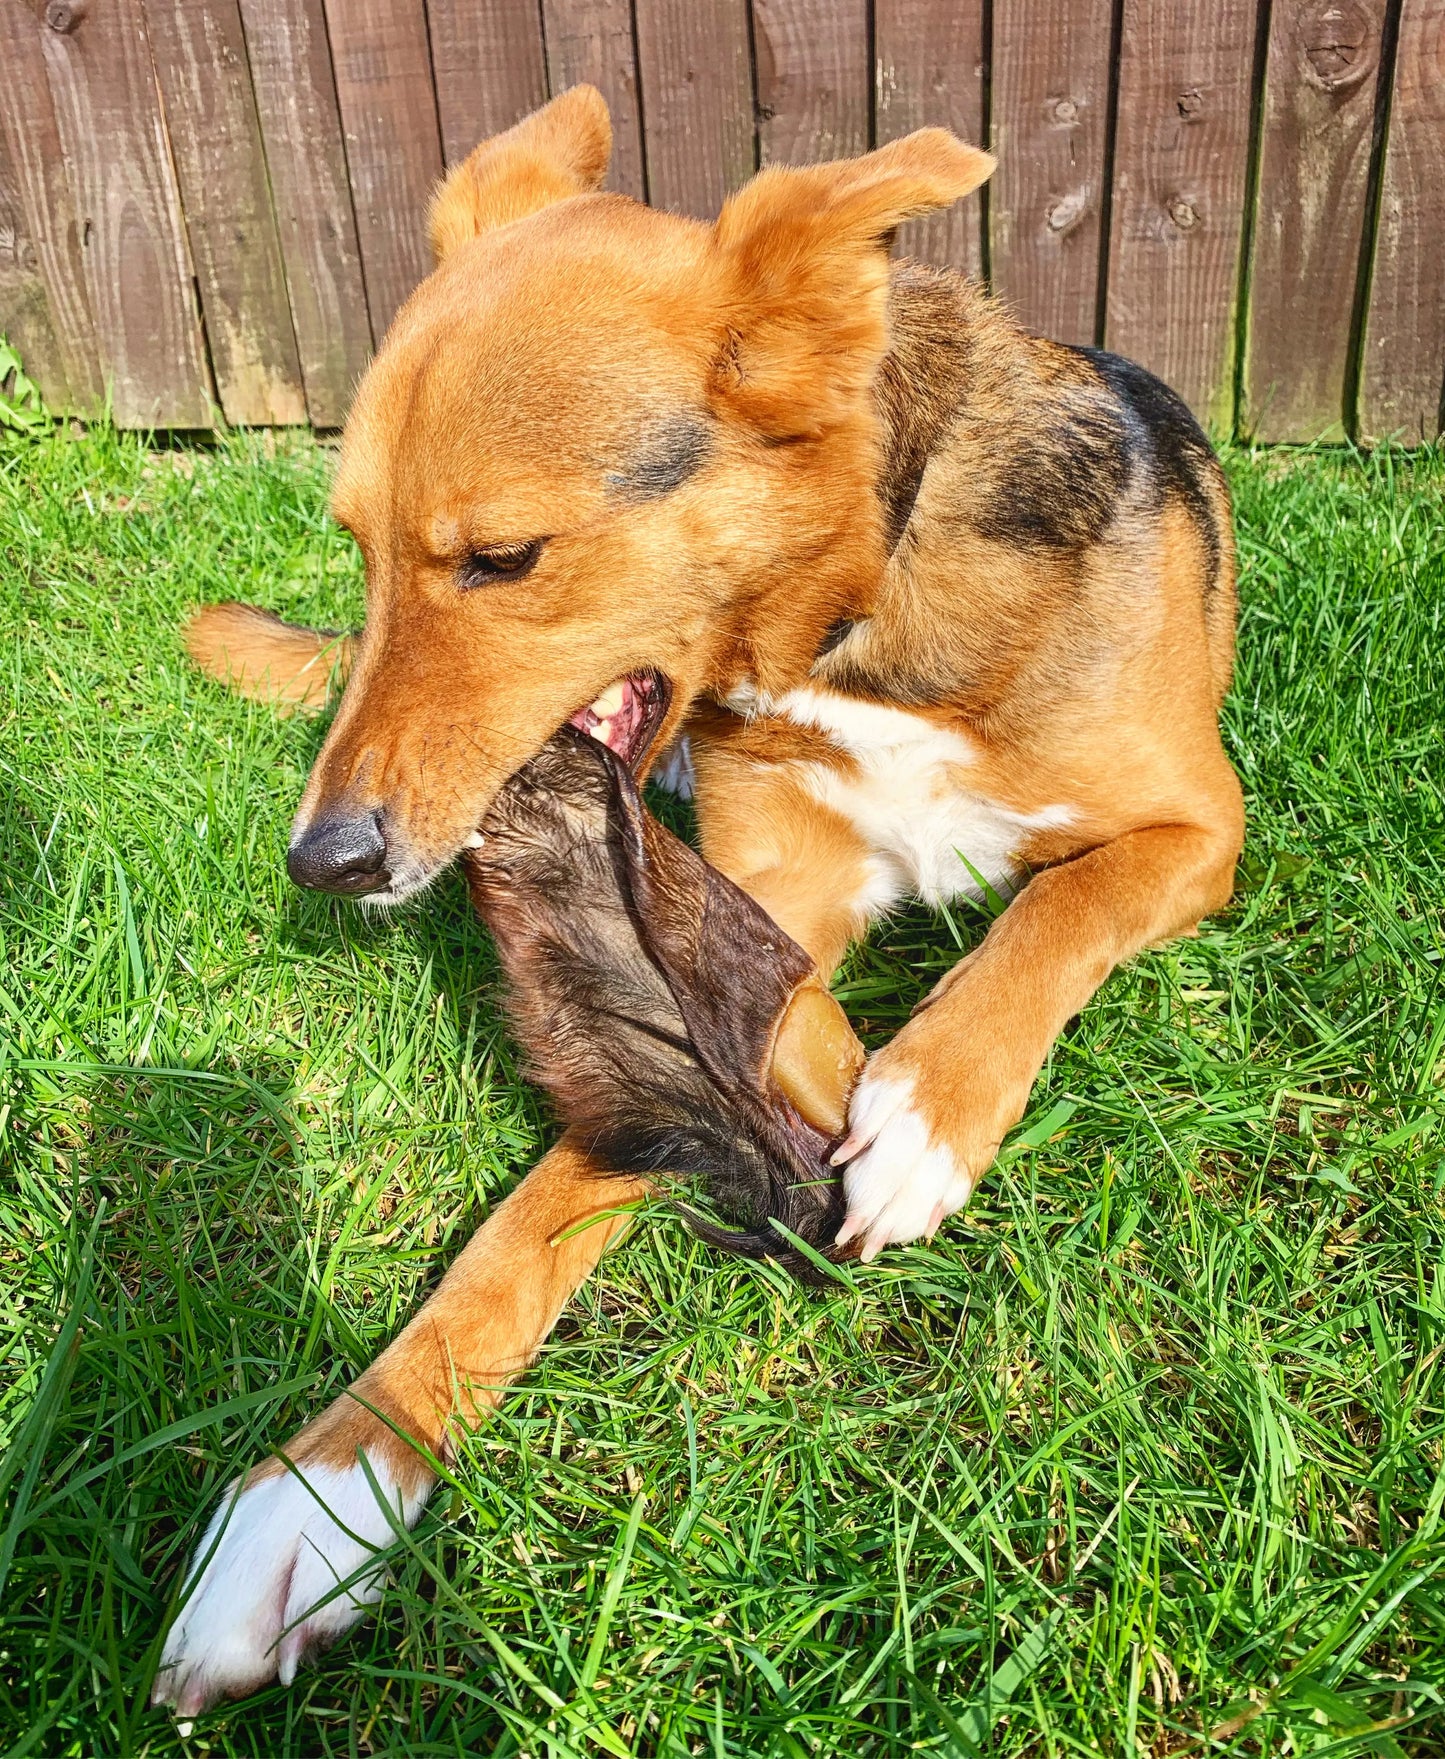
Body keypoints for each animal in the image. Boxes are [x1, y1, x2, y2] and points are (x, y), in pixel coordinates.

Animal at [154, 85, 1239, 1716]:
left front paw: (923, 1105)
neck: (859, 623)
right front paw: (322, 1493)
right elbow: (546, 1202)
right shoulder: (750, 903)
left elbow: (1055, 914)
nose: (322, 862)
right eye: (358, 552)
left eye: (503, 558)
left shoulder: (1200, 831)